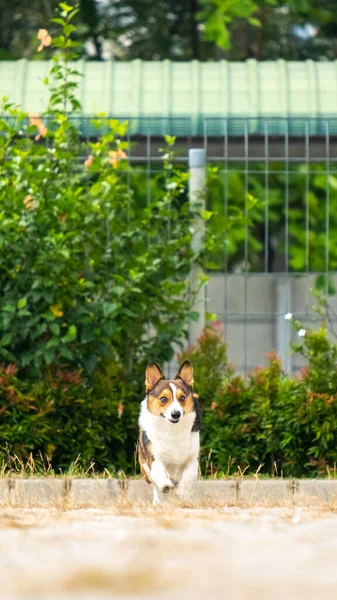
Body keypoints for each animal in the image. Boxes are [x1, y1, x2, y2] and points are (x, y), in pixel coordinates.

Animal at [137, 358, 200, 504]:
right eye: (163, 399)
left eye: (182, 398)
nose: (176, 414)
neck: (172, 429)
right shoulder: (154, 458)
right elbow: (160, 472)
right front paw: (165, 485)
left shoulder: (193, 460)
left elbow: (187, 477)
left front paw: (182, 493)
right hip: (145, 471)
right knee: (155, 486)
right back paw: (158, 501)